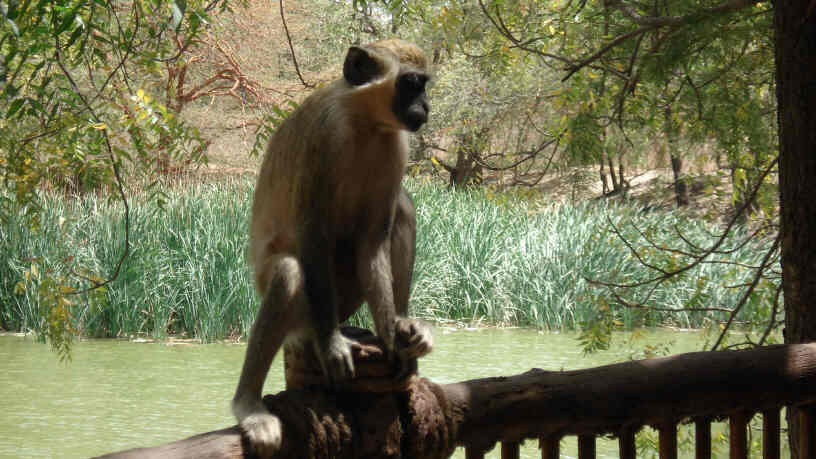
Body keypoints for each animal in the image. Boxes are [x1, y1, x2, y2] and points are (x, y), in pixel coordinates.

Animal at [231, 40, 434, 456]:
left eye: (424, 85)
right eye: (411, 83)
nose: (426, 106)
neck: (365, 123)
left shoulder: (396, 144)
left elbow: (372, 239)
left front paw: (392, 333)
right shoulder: (325, 137)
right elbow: (313, 231)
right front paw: (330, 344)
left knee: (402, 207)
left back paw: (400, 322)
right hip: (302, 311)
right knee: (290, 274)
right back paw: (251, 402)